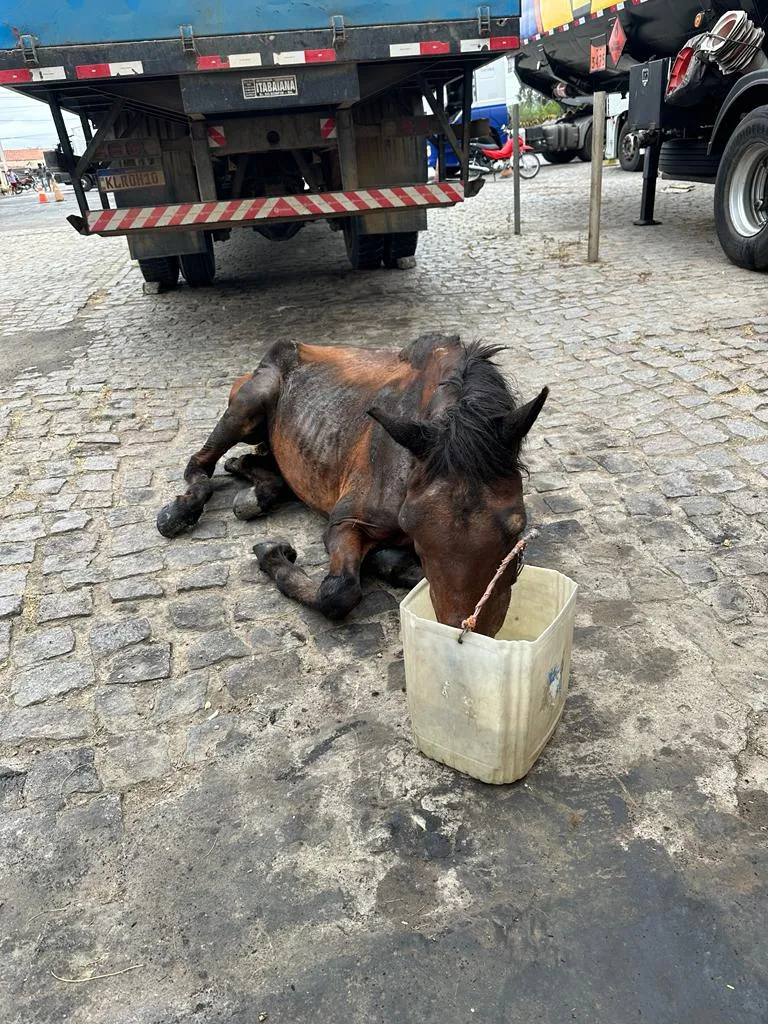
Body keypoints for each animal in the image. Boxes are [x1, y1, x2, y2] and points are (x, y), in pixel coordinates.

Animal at [156, 335, 548, 634]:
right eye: (415, 527)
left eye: (517, 529)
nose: (466, 630)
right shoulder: (345, 521)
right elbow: (338, 593)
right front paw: (273, 556)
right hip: (247, 405)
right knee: (201, 464)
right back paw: (180, 511)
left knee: (257, 467)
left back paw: (252, 487)